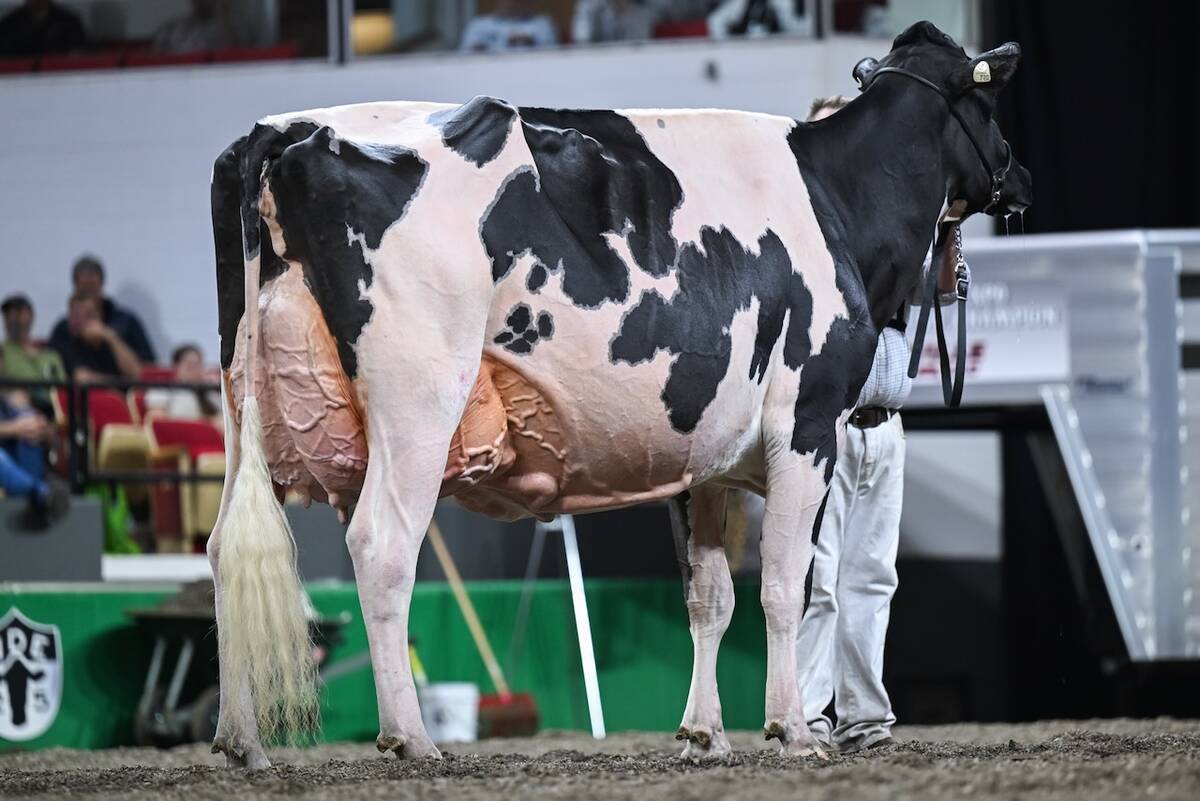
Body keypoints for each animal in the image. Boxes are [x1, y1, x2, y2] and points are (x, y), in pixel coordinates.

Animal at [206, 20, 1031, 769]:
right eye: (991, 103)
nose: (1020, 178)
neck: (836, 197)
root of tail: (281, 131)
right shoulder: (809, 422)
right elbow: (784, 587)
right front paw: (794, 730)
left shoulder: (705, 454)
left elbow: (710, 596)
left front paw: (704, 733)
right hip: (419, 398)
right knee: (382, 544)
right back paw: (410, 737)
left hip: (244, 401)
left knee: (227, 549)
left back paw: (242, 741)